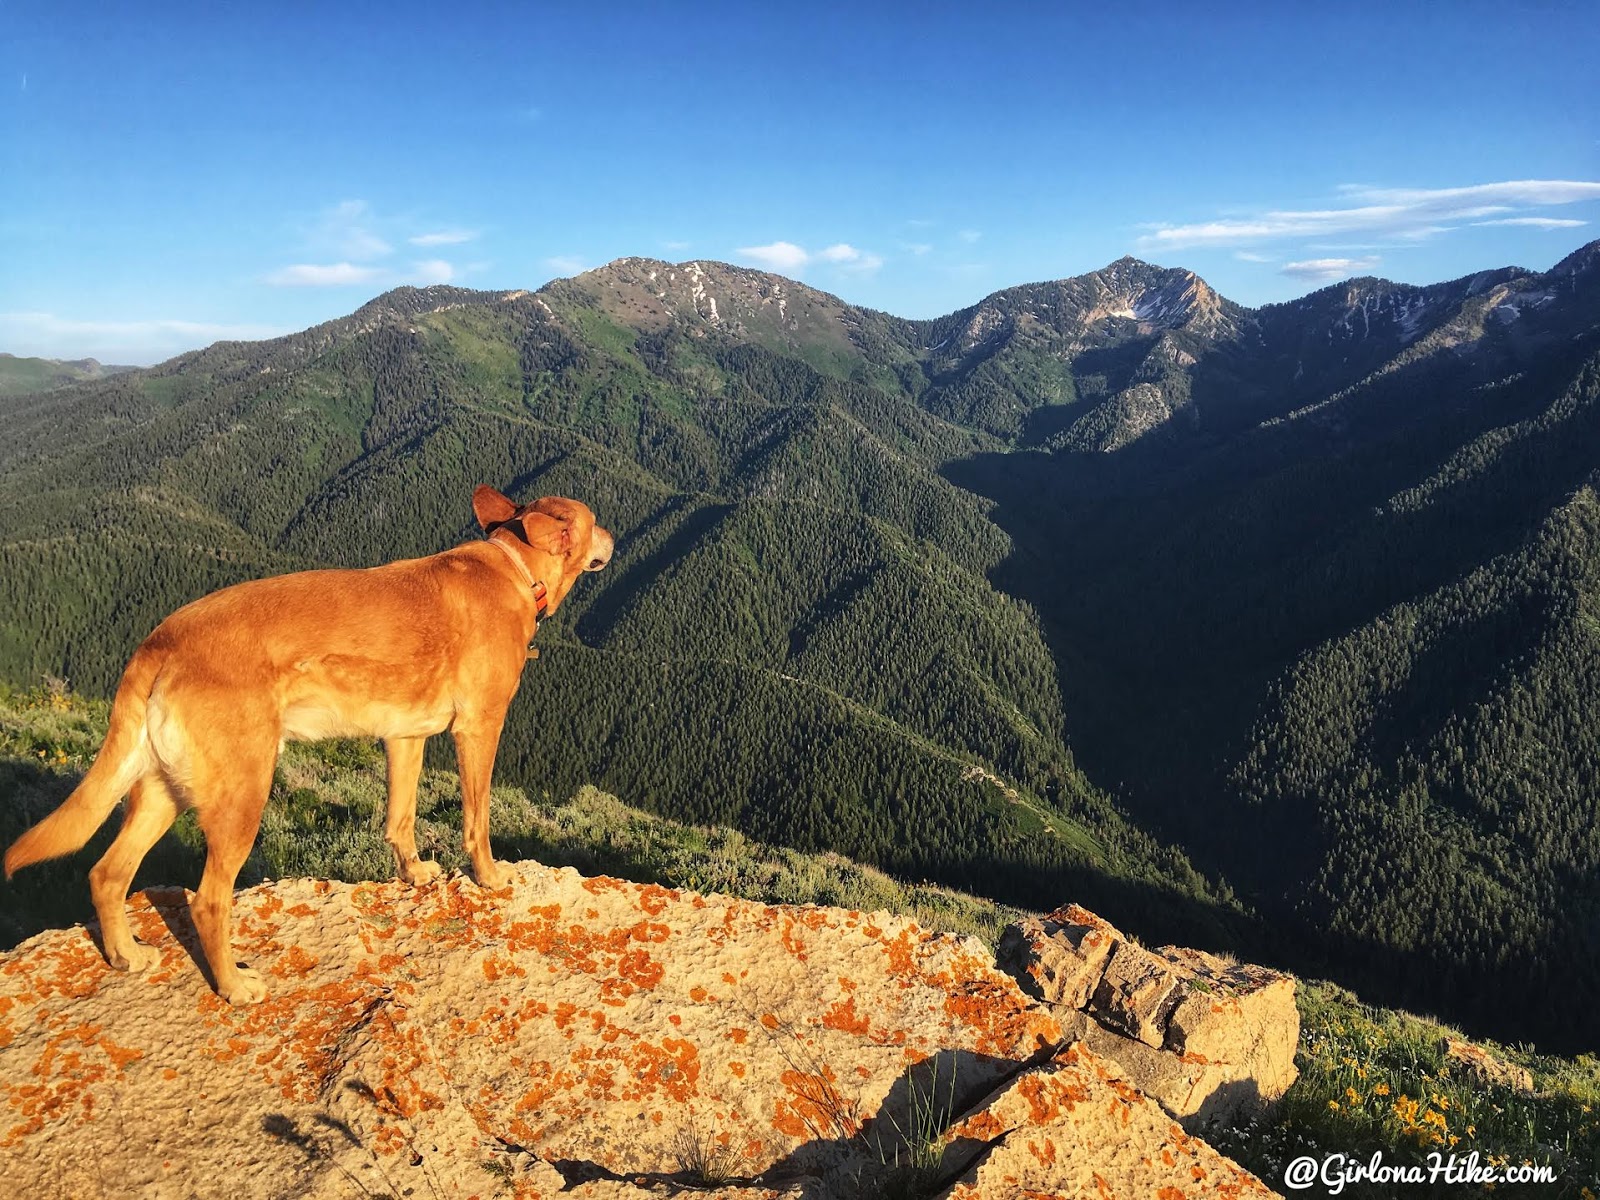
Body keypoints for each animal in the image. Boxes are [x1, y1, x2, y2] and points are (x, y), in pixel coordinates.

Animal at [4, 486, 611, 1004]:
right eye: (595, 520)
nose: (613, 538)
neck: (514, 567)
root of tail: (159, 642)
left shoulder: (404, 737)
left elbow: (400, 818)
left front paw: (413, 874)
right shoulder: (479, 728)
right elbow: (477, 818)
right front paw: (489, 877)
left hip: (162, 791)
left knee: (106, 873)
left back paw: (126, 954)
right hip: (243, 793)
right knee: (207, 901)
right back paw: (233, 986)